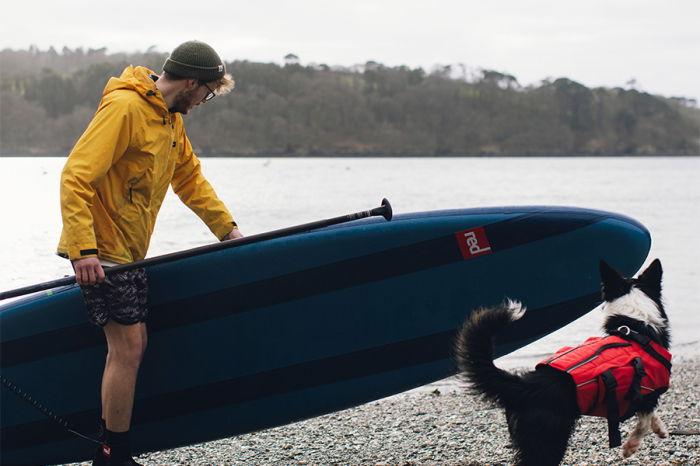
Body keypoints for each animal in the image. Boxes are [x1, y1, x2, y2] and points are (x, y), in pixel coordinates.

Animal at [454, 260, 672, 466]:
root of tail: (524, 383)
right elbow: (644, 420)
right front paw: (630, 446)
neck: (636, 326)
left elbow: (650, 416)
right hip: (549, 441)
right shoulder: (647, 392)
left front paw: (659, 429)